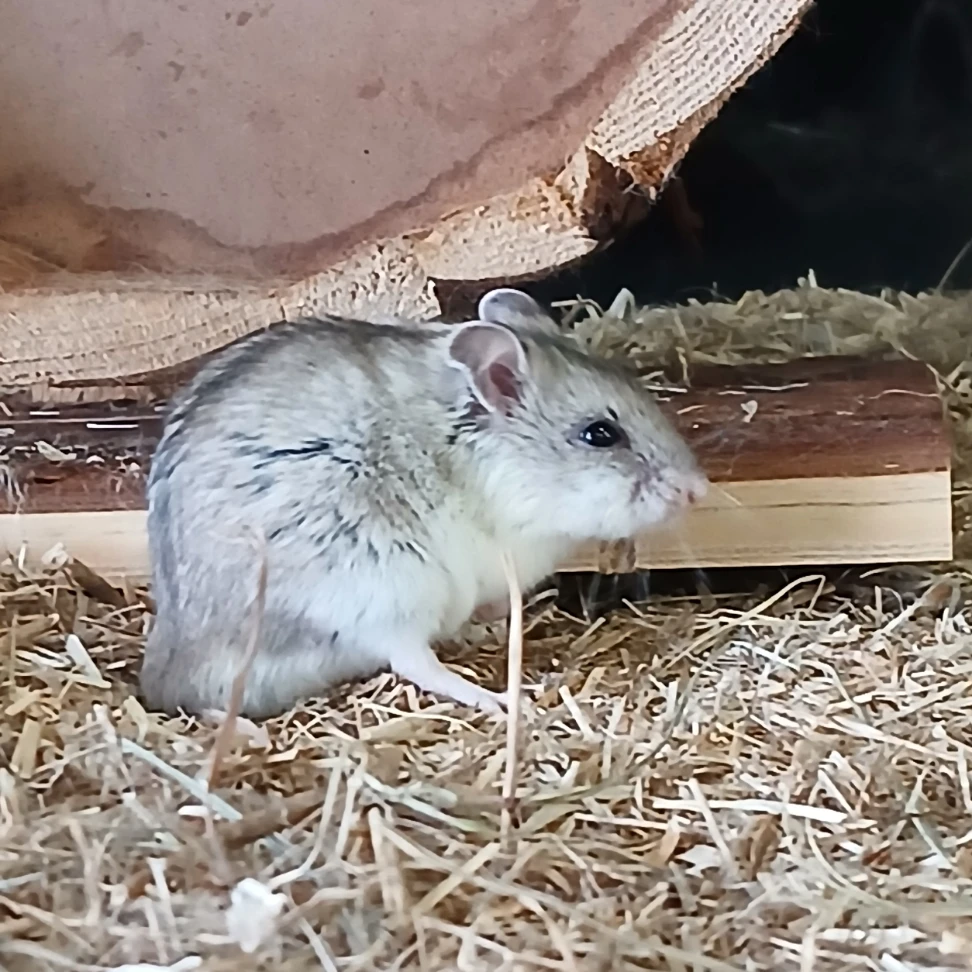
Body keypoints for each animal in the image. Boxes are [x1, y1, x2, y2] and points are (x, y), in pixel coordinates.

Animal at [139, 288, 708, 719]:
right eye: (600, 434)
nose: (698, 490)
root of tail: (171, 671)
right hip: (383, 582)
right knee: (414, 662)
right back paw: (498, 698)